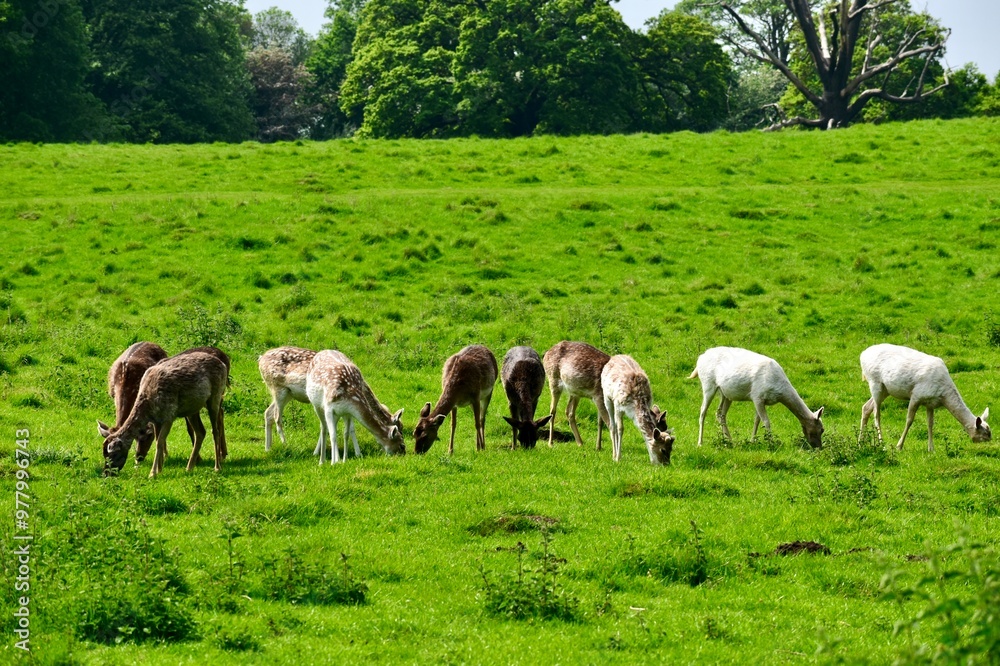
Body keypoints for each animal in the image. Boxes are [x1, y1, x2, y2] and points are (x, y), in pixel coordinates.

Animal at [690, 346, 824, 448]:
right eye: (821, 429)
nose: (818, 446)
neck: (780, 390)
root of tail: (700, 359)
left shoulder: (761, 401)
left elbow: (757, 420)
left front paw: (752, 441)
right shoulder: (757, 395)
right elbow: (766, 421)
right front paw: (771, 442)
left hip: (726, 394)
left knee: (720, 413)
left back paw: (729, 440)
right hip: (708, 384)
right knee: (703, 411)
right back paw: (700, 442)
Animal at [859, 343, 991, 451]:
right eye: (985, 434)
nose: (990, 442)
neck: (943, 396)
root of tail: (862, 355)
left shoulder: (930, 403)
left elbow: (930, 423)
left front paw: (931, 449)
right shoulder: (916, 395)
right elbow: (909, 420)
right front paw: (899, 446)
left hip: (885, 390)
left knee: (866, 407)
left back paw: (860, 441)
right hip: (875, 382)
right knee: (876, 414)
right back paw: (881, 444)